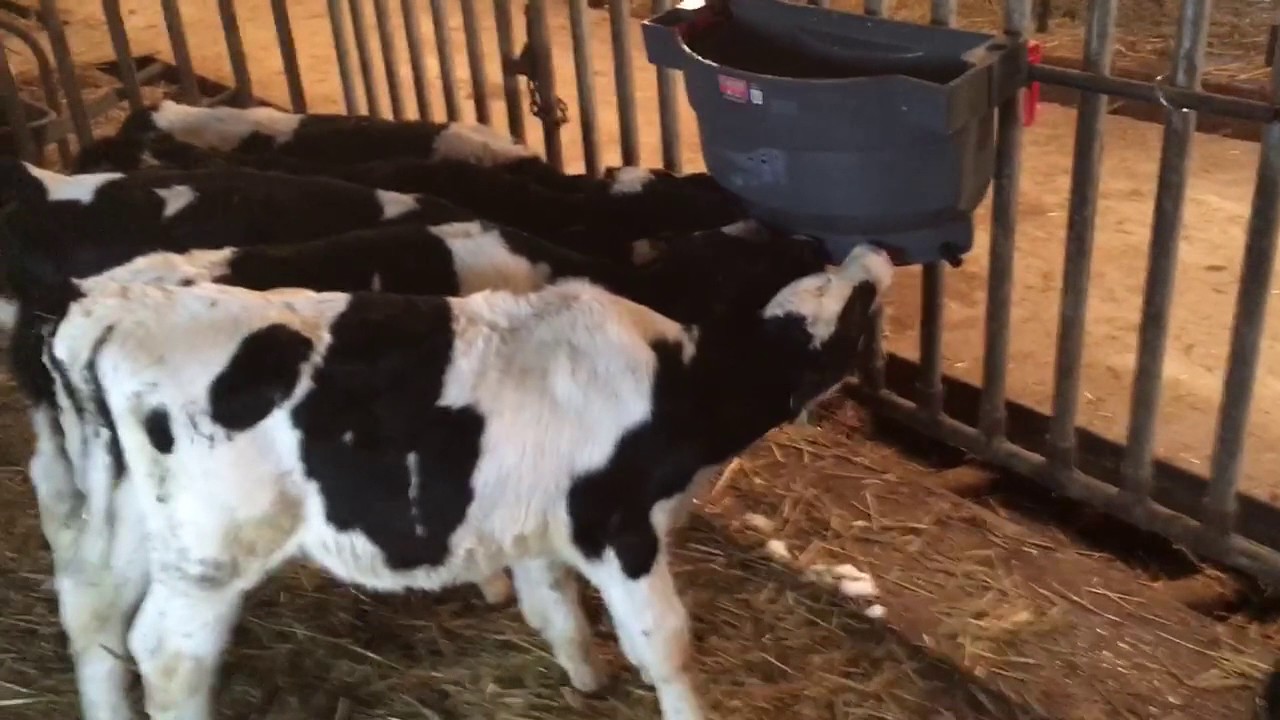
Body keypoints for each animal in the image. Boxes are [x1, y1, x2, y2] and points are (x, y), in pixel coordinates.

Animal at [35, 240, 891, 720]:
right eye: (850, 306)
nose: (875, 253)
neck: (675, 380)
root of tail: (117, 305)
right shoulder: (617, 529)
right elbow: (666, 644)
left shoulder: (539, 525)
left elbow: (556, 609)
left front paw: (585, 679)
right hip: (211, 553)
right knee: (166, 654)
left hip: (130, 522)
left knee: (93, 615)